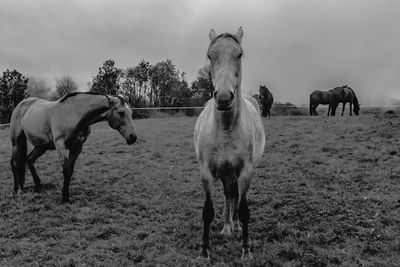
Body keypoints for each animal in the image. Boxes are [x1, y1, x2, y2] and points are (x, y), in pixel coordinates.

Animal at [9, 92, 138, 203]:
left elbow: (70, 171)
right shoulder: (60, 145)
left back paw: (38, 186)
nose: (133, 137)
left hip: (41, 146)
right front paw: (65, 197)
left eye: (131, 113)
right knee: (15, 163)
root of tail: (21, 104)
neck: (74, 114)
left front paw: (65, 194)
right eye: (121, 112)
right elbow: (66, 171)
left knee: (29, 160)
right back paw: (16, 190)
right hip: (16, 142)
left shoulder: (77, 147)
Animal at [194, 26, 266, 260]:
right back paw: (227, 226)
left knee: (234, 196)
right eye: (210, 55)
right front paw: (204, 252)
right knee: (228, 195)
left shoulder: (245, 172)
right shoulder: (206, 173)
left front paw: (246, 251)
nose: (224, 98)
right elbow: (208, 211)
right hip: (225, 173)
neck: (225, 128)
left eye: (239, 54)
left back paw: (234, 225)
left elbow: (244, 210)